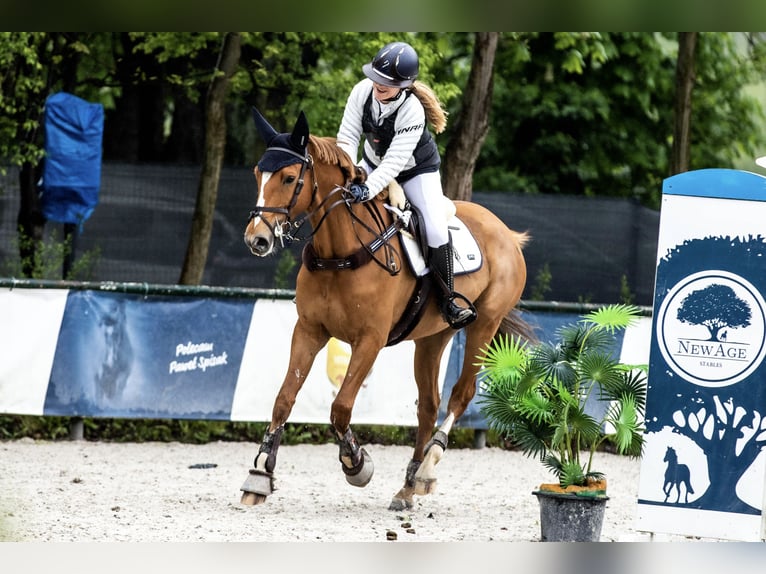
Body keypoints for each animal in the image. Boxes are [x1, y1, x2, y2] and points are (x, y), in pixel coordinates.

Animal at [243, 109, 532, 512]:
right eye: (258, 174)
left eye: (288, 178)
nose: (256, 239)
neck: (340, 252)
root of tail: (507, 234)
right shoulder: (309, 331)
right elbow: (284, 399)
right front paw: (259, 473)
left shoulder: (370, 340)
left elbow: (341, 407)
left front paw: (356, 464)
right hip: (432, 337)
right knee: (428, 404)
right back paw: (409, 485)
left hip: (484, 326)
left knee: (461, 394)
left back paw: (428, 467)